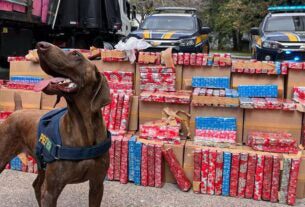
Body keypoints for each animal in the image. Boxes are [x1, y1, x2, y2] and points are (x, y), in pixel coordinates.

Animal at [0, 41, 111, 206]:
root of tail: (17, 110)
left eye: (76, 54)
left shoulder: (97, 185)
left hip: (42, 165)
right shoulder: (52, 191)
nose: (40, 45)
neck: (85, 130)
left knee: (37, 185)